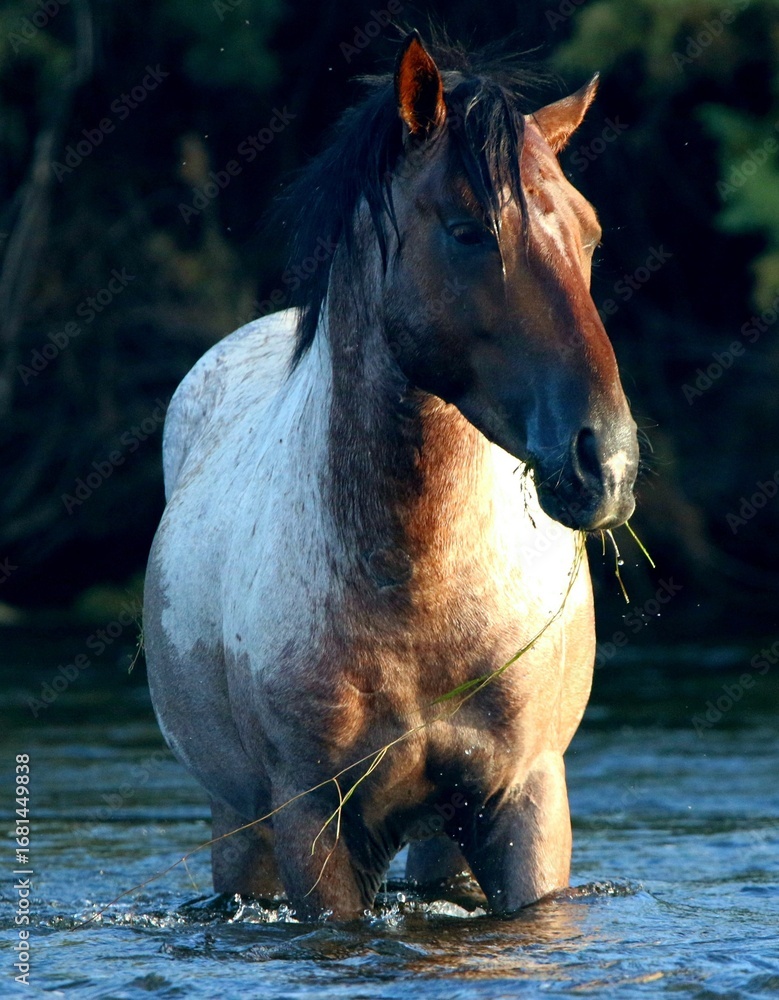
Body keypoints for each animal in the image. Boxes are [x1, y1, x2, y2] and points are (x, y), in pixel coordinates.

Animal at [144, 31, 639, 920]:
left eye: (588, 235)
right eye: (468, 230)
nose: (605, 461)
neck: (413, 586)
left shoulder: (524, 802)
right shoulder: (313, 822)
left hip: (446, 839)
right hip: (239, 824)